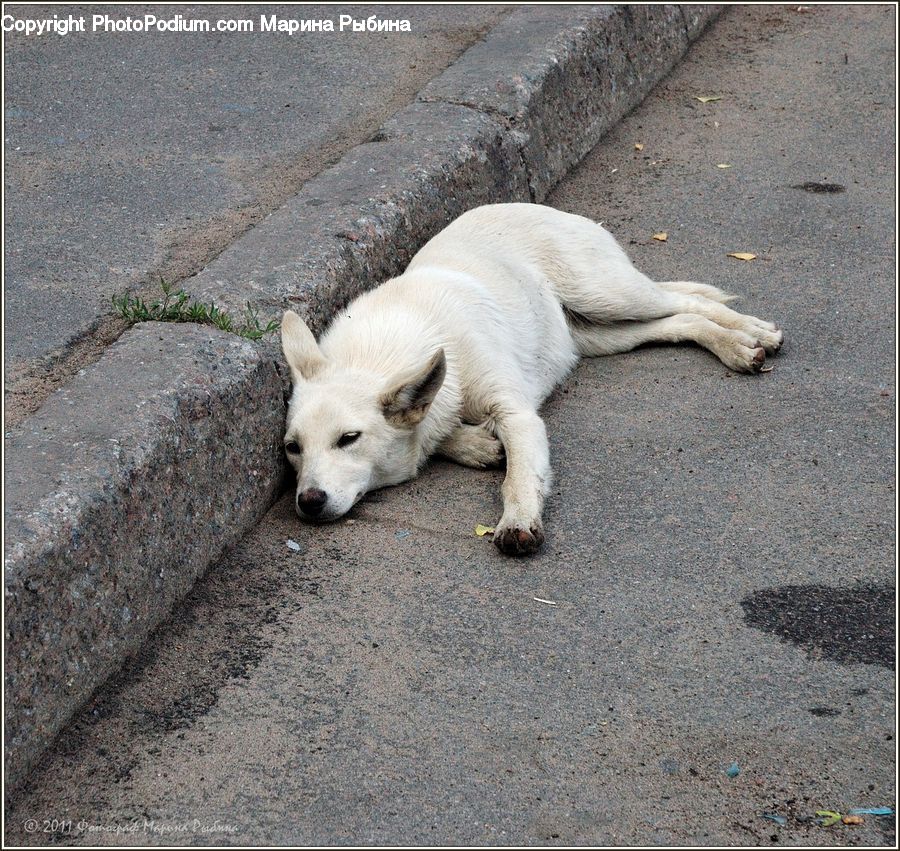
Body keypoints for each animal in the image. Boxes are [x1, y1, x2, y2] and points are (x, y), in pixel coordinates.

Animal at [280, 203, 780, 556]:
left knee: (688, 301)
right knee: (680, 321)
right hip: (602, 334)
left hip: (610, 296)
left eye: (349, 438)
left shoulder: (516, 414)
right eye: (292, 448)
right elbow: (439, 433)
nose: (308, 502)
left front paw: (518, 522)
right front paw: (474, 445)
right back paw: (734, 343)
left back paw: (751, 334)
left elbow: (518, 477)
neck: (382, 348)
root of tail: (540, 205)